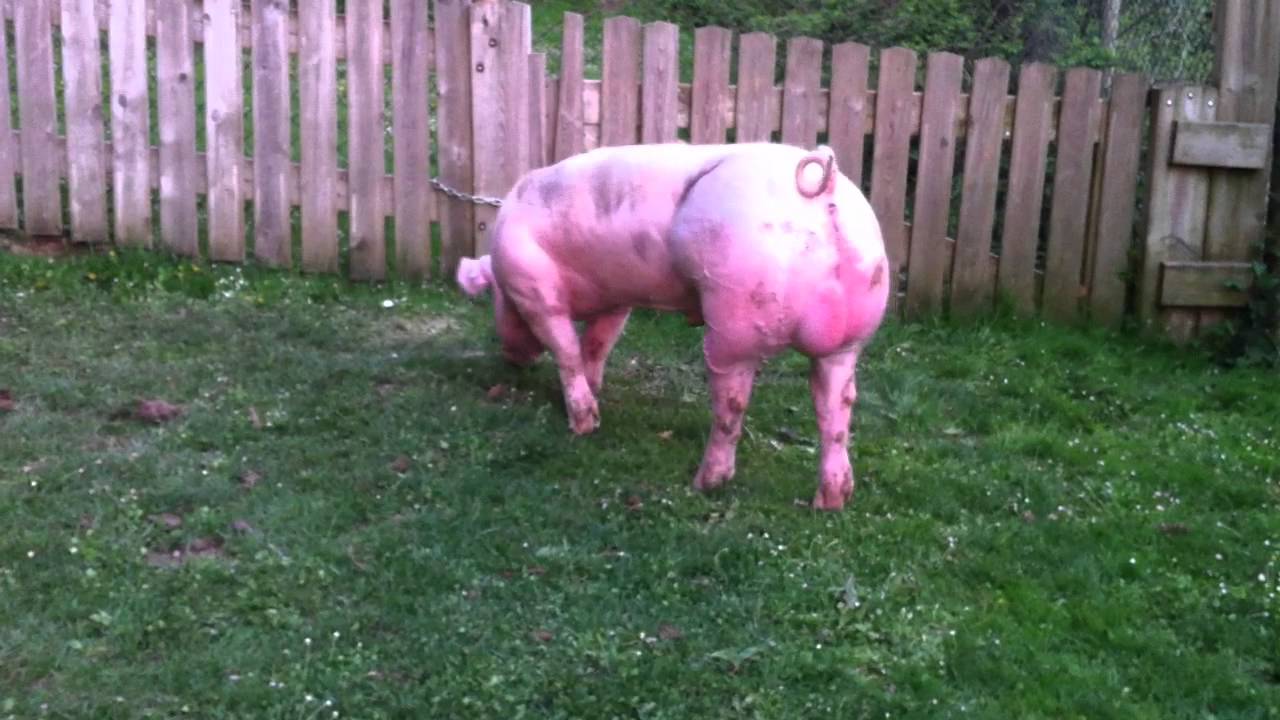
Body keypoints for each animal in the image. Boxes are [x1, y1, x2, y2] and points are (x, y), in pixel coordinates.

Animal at [456, 142, 889, 510]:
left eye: (494, 295)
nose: (512, 357)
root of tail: (821, 183)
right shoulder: (619, 297)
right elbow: (596, 344)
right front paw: (596, 393)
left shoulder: (533, 288)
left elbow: (565, 349)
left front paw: (584, 426)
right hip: (851, 334)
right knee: (837, 406)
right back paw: (830, 502)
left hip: (735, 321)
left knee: (732, 404)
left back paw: (705, 483)